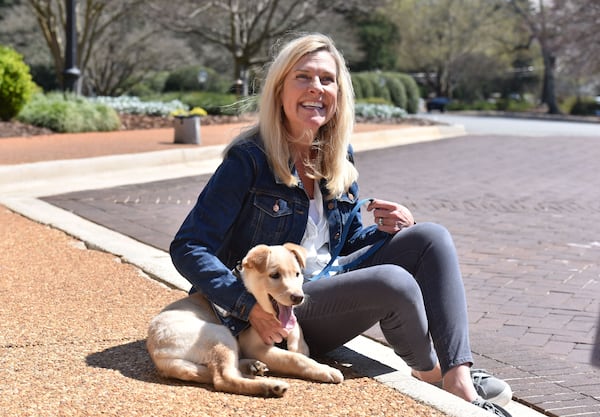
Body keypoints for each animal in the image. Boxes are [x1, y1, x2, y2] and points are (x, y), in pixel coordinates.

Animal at [146, 244, 342, 396]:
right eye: (275, 275)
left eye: (297, 274)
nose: (298, 298)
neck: (252, 295)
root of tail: (158, 353)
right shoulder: (256, 347)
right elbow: (295, 359)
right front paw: (324, 369)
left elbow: (295, 327)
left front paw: (299, 346)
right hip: (219, 334)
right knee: (223, 379)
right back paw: (271, 386)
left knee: (221, 371)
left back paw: (254, 367)